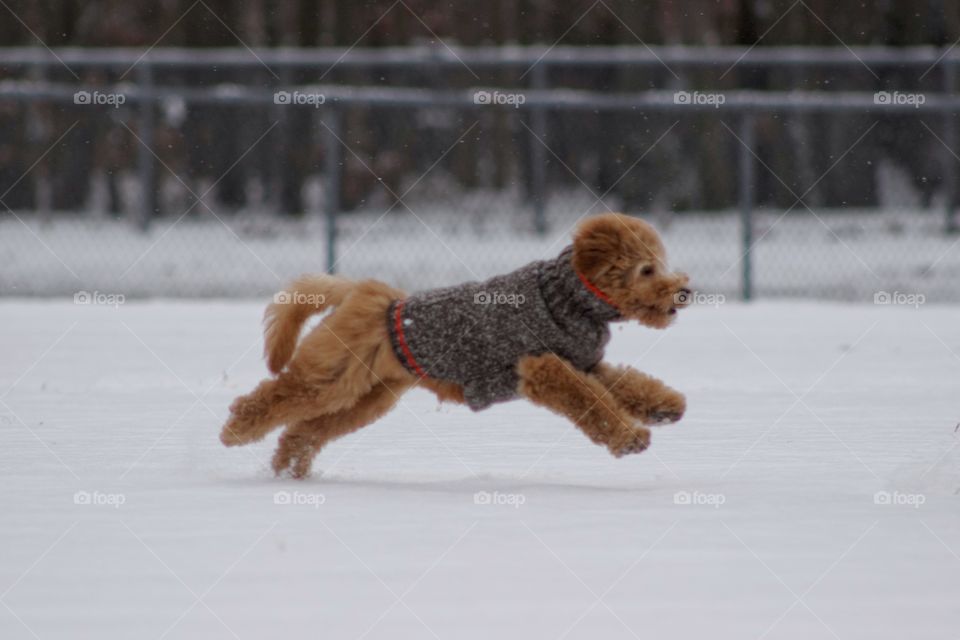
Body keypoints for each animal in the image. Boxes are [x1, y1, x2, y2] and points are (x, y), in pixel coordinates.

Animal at [220, 212, 688, 478]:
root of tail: (364, 294)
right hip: (331, 378)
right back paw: (236, 430)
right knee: (273, 397)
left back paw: (288, 468)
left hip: (367, 397)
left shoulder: (587, 364)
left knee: (304, 430)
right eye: (647, 270)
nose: (684, 291)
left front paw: (665, 407)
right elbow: (593, 404)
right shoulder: (544, 368)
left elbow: (628, 385)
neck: (567, 299)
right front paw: (629, 437)